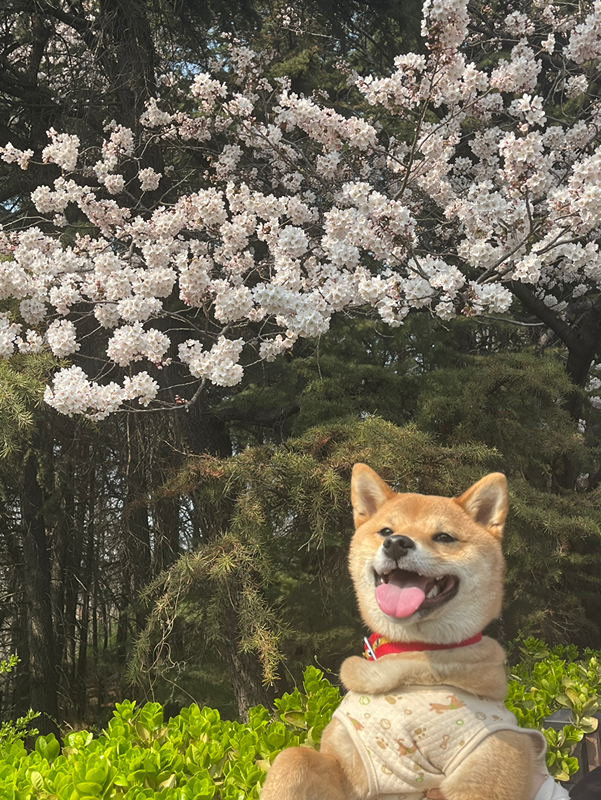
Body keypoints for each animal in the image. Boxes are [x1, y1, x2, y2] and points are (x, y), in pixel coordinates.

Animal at [258, 462, 568, 800]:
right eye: (386, 531)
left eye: (444, 537)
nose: (397, 543)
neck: (412, 656)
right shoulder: (349, 764)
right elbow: (292, 756)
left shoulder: (489, 766)